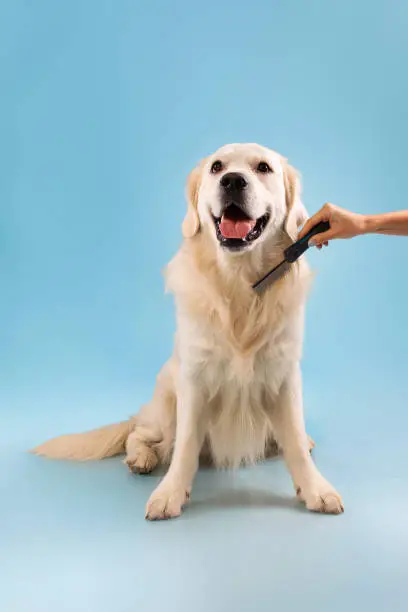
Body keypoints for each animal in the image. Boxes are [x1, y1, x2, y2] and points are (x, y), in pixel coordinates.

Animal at [32, 145, 344, 520]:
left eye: (263, 167)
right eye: (217, 167)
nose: (233, 181)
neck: (240, 284)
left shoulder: (284, 374)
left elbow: (294, 439)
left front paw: (315, 488)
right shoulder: (195, 377)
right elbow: (185, 445)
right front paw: (170, 493)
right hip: (166, 401)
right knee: (138, 433)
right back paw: (141, 457)